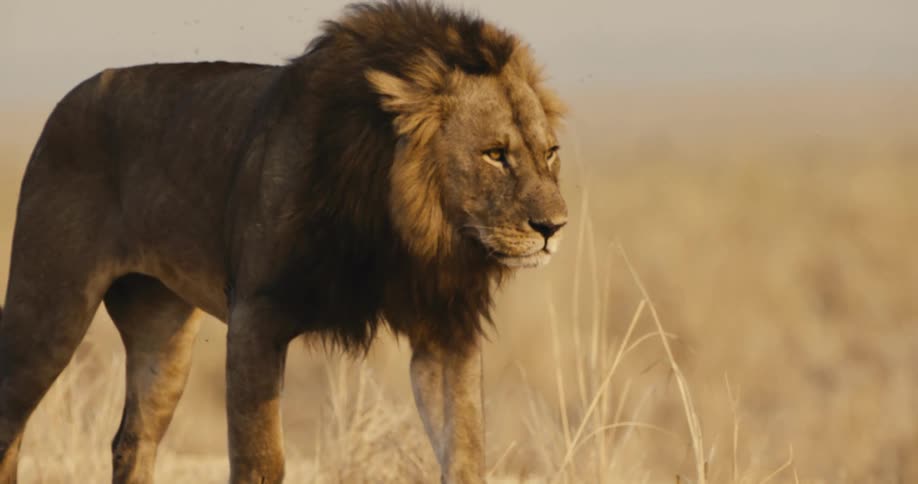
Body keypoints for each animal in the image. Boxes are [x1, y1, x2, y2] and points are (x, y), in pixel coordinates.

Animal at [0, 2, 567, 483]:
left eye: (550, 153)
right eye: (494, 154)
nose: (554, 227)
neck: (403, 235)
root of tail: (65, 100)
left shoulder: (446, 329)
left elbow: (465, 450)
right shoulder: (256, 315)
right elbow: (261, 459)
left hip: (163, 332)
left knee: (132, 440)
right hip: (49, 309)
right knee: (11, 418)